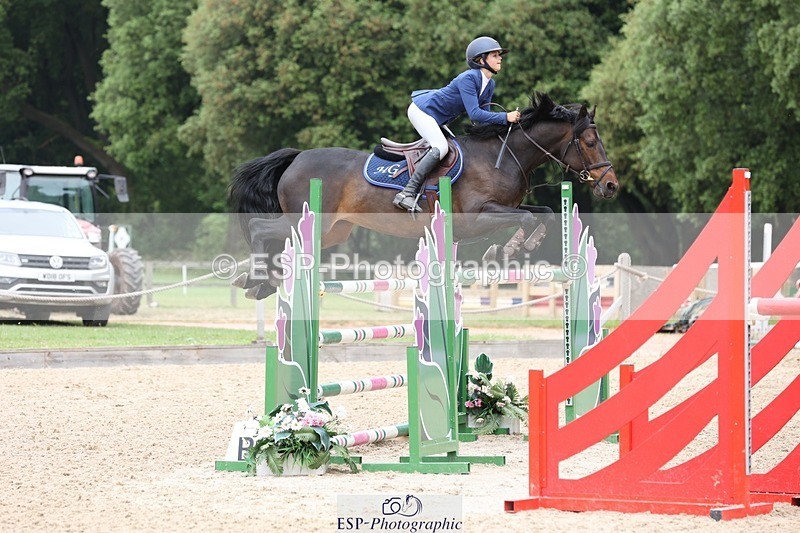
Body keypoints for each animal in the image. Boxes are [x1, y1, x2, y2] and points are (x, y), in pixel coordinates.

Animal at [229, 92, 618, 299]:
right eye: (588, 142)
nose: (611, 185)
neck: (503, 155)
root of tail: (296, 157)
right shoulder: (477, 217)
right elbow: (524, 217)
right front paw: (505, 250)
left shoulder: (506, 206)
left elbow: (544, 213)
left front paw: (524, 245)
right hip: (309, 221)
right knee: (262, 230)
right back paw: (257, 279)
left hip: (333, 232)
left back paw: (259, 283)